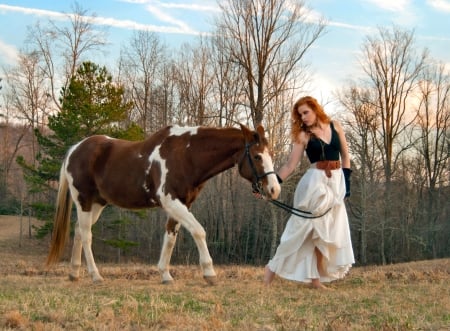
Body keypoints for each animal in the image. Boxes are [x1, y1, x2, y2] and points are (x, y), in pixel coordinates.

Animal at [47, 124, 282, 286]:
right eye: (257, 156)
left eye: (270, 154)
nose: (274, 189)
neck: (186, 155)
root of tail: (75, 149)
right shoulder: (171, 201)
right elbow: (199, 231)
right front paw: (209, 273)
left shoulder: (182, 204)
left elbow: (170, 238)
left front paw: (165, 274)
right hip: (84, 200)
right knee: (87, 235)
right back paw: (96, 275)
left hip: (97, 203)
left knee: (79, 231)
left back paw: (74, 273)